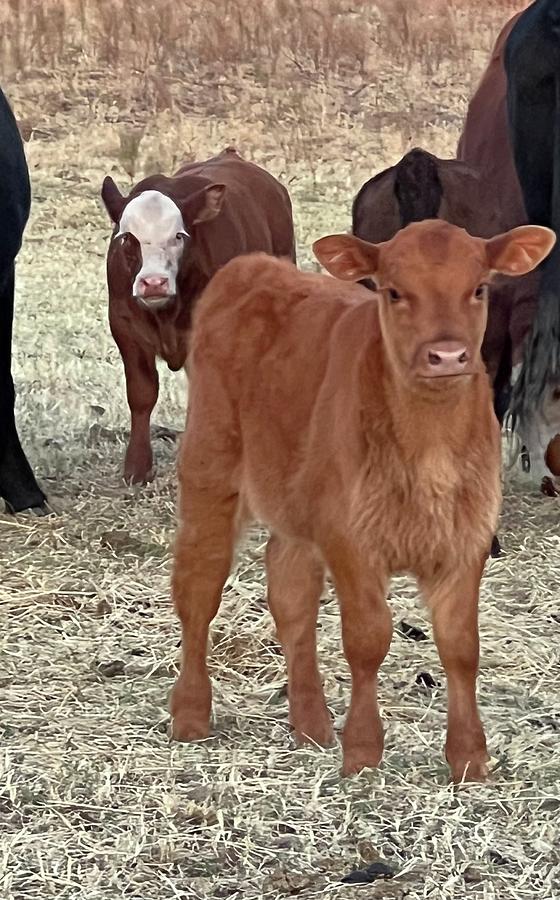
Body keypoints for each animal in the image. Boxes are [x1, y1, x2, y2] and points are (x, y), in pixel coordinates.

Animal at [100, 148, 296, 486]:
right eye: (127, 238)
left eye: (179, 236)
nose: (153, 282)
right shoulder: (125, 327)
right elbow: (141, 393)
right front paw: (137, 466)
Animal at [168, 221, 552, 784]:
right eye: (393, 291)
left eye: (479, 288)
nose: (447, 356)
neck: (429, 451)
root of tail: (253, 267)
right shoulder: (351, 540)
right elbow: (369, 639)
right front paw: (364, 751)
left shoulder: (467, 538)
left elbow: (461, 646)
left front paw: (469, 757)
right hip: (209, 468)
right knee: (199, 585)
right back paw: (191, 714)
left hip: (298, 504)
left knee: (290, 591)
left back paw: (311, 724)